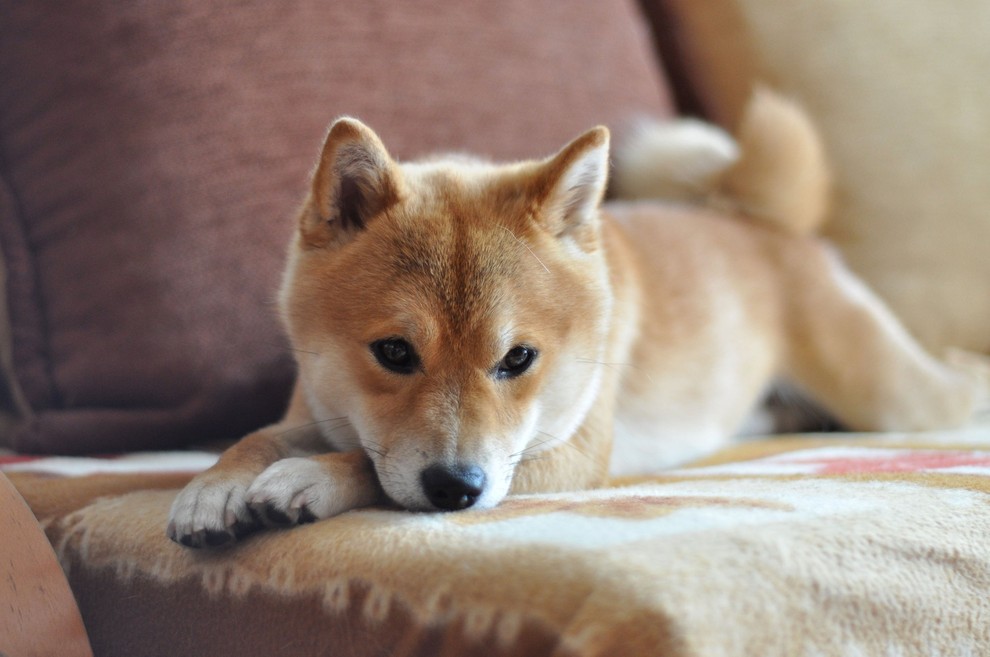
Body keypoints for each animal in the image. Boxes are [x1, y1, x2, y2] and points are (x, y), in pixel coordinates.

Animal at [167, 89, 980, 544]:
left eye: (518, 359)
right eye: (394, 352)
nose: (455, 489)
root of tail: (761, 222)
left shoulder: (568, 455)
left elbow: (365, 464)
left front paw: (310, 478)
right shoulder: (316, 410)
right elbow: (256, 439)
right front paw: (214, 487)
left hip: (889, 396)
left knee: (956, 382)